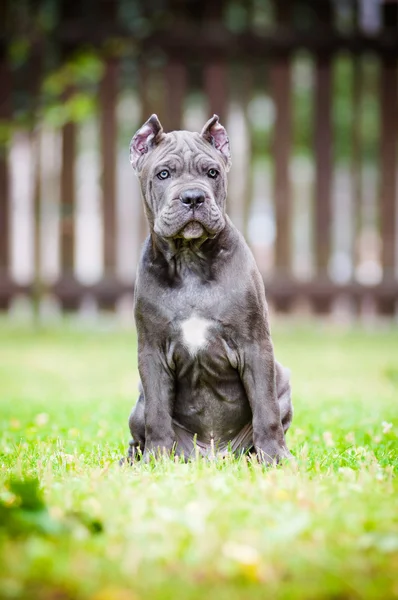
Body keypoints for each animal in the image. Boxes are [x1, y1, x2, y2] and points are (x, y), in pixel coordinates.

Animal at [123, 115, 292, 464]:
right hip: (138, 403)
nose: (193, 197)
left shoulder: (255, 346)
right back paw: (132, 460)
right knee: (140, 429)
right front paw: (156, 460)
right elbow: (157, 414)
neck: (190, 259)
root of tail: (212, 455)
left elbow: (265, 409)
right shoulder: (151, 352)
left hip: (283, 380)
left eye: (212, 172)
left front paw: (276, 459)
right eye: (163, 174)